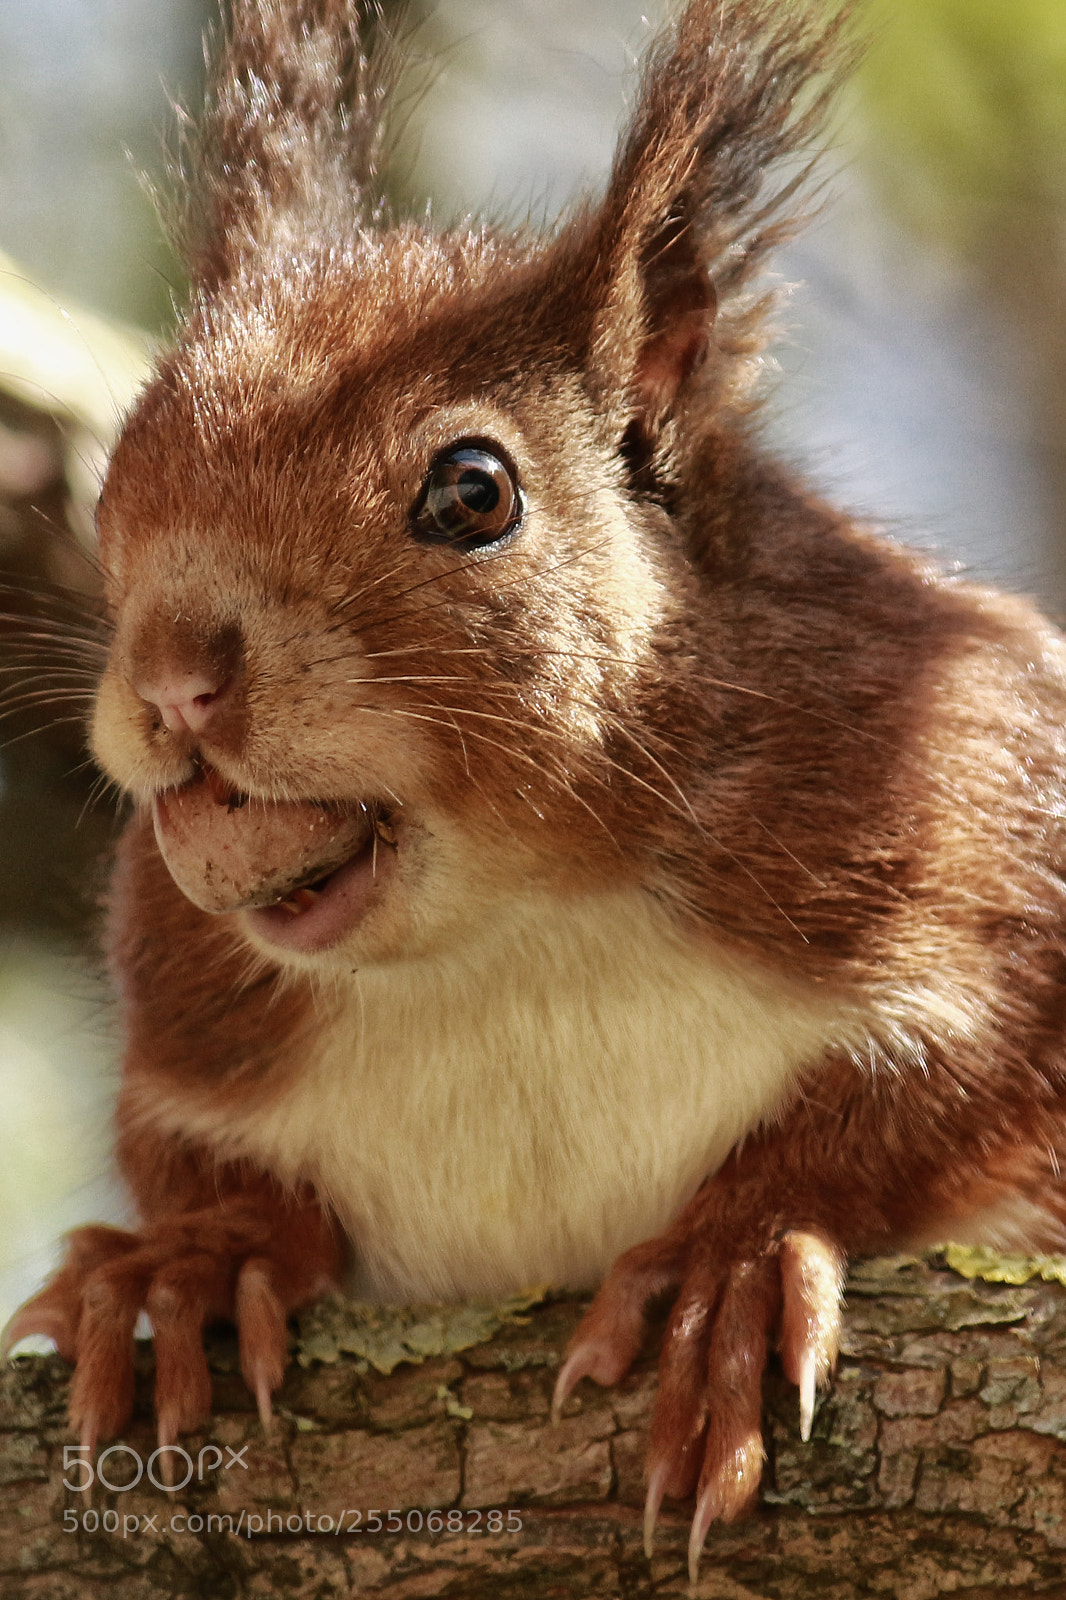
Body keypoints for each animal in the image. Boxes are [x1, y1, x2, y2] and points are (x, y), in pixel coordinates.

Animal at [7, 0, 1066, 1577]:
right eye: (113, 478)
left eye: (474, 492)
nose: (177, 680)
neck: (514, 932)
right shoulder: (193, 1005)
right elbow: (186, 1150)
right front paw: (189, 1262)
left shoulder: (952, 778)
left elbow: (957, 1078)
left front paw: (731, 1259)